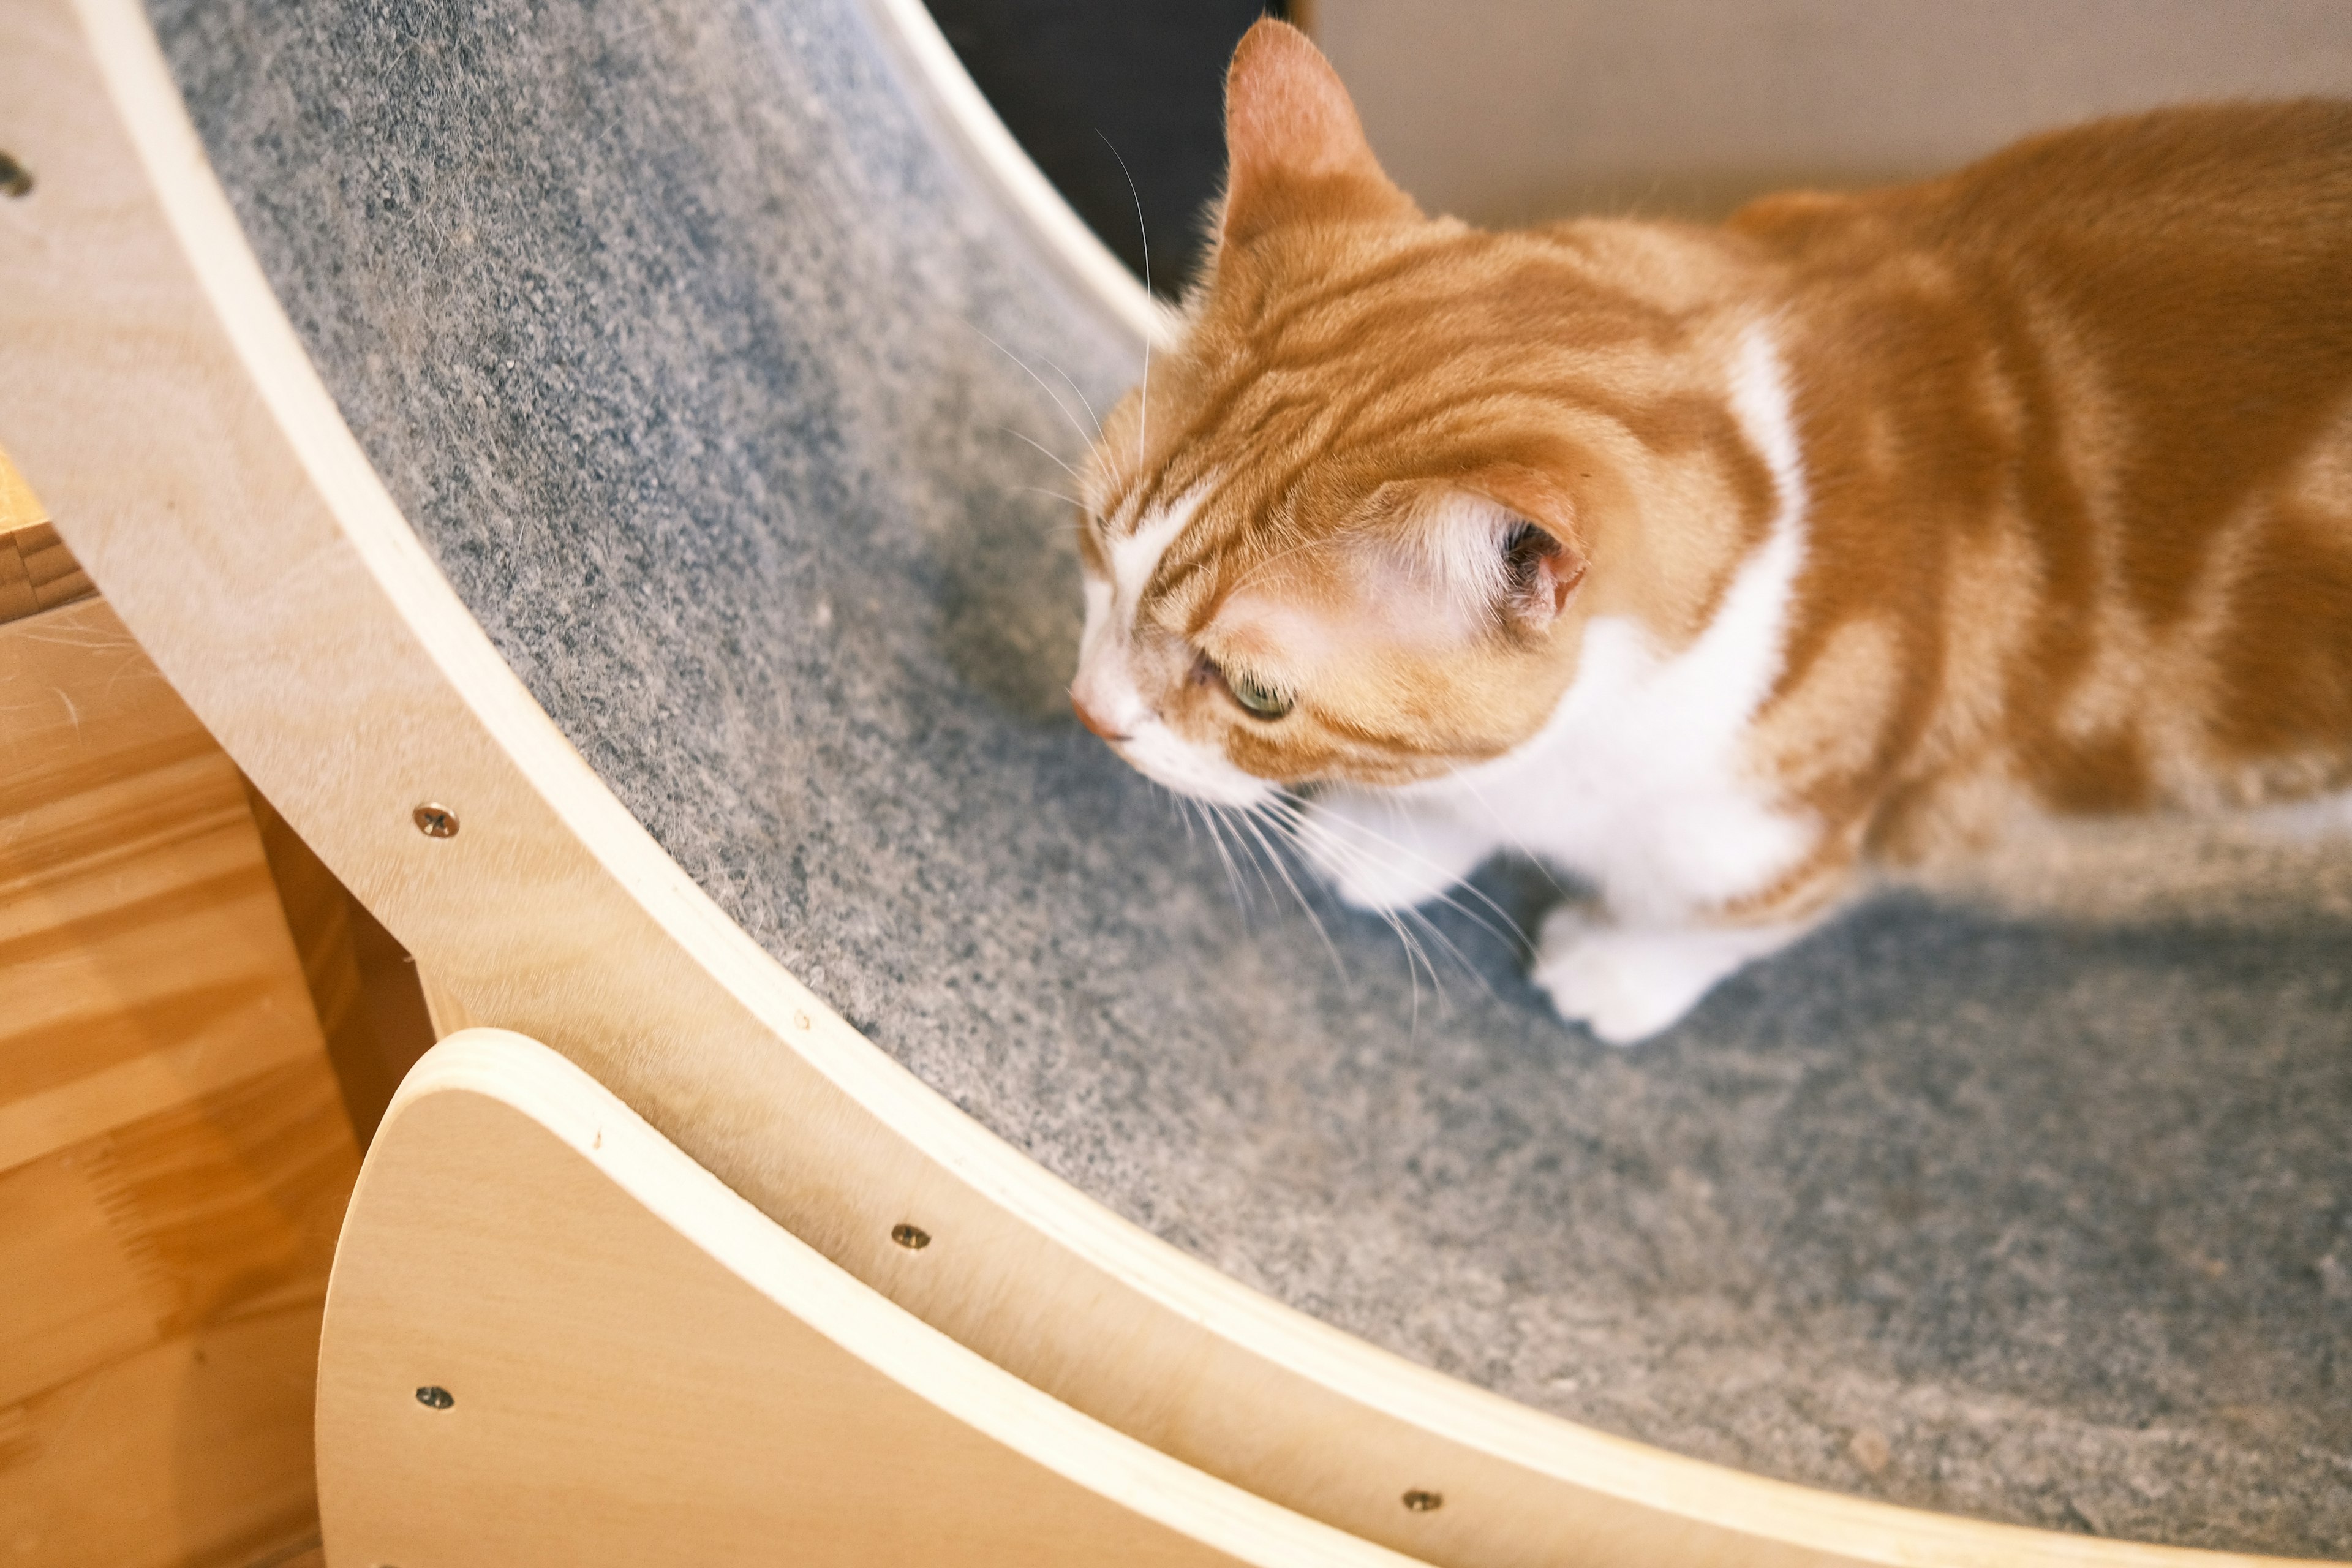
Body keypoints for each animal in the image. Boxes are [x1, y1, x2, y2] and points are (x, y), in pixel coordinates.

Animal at [1068, 21, 2352, 1044]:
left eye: (1257, 693)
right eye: (1091, 542)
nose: (1090, 715)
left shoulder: (1815, 834)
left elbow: (1725, 922)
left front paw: (1616, 970)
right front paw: (1398, 834)